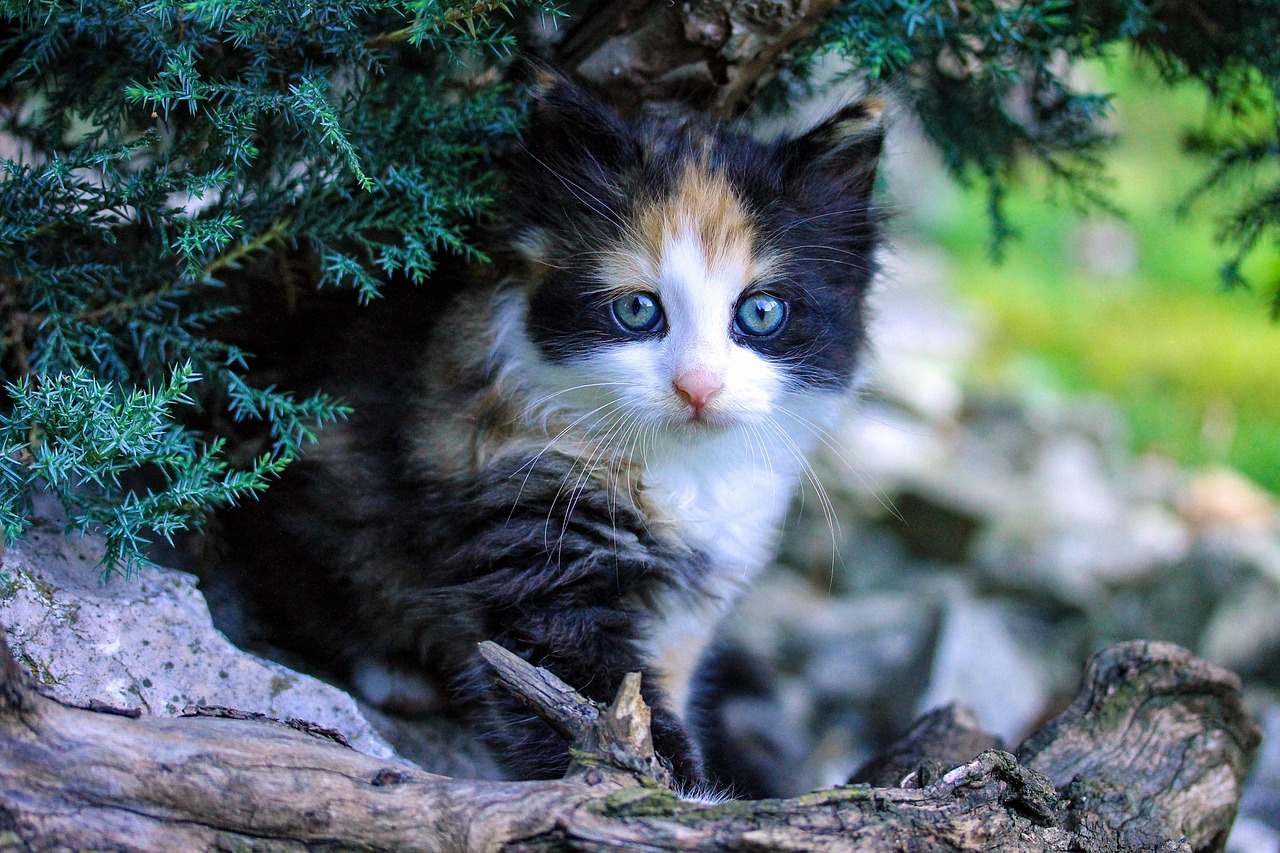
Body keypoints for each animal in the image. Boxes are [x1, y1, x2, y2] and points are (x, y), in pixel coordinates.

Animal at [222, 76, 880, 788]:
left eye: (761, 313)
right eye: (637, 309)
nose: (698, 386)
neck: (679, 469)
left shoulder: (690, 607)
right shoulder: (526, 539)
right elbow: (587, 692)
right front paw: (668, 792)